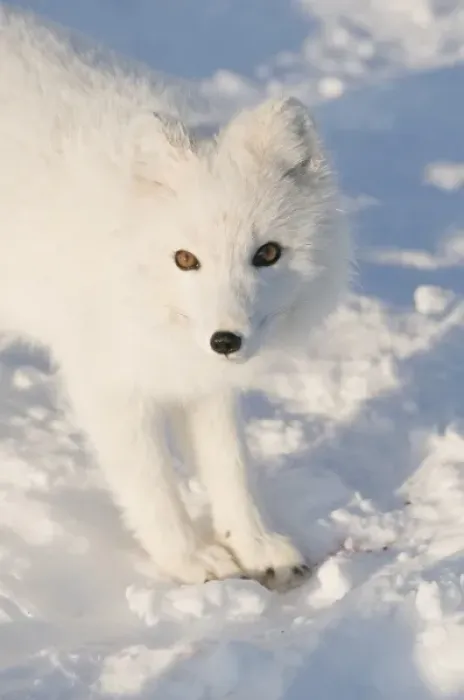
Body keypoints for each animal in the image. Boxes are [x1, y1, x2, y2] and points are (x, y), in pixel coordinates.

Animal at [0, 6, 351, 589]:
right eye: (185, 259)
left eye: (268, 253)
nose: (226, 341)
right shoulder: (106, 383)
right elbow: (151, 483)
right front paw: (189, 560)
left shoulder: (204, 377)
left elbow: (230, 465)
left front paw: (256, 546)